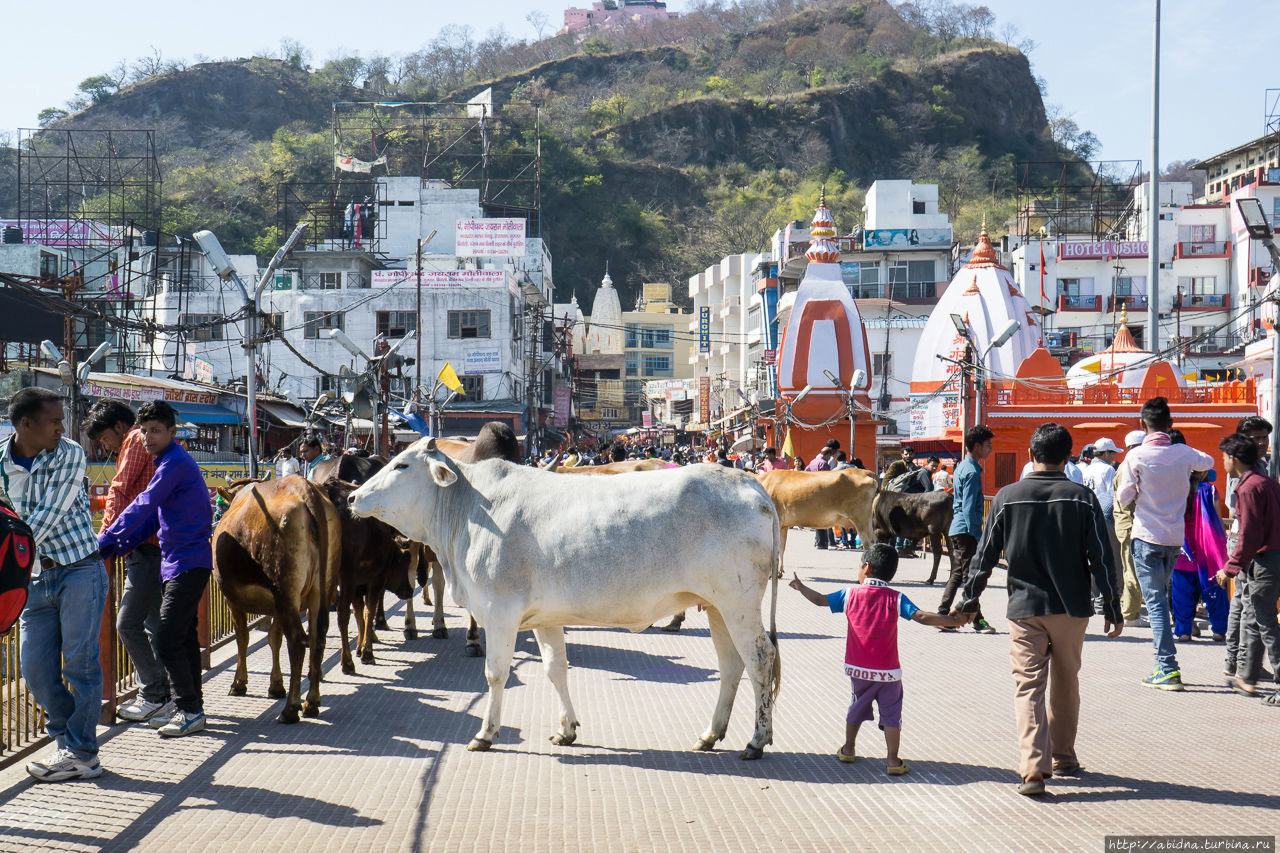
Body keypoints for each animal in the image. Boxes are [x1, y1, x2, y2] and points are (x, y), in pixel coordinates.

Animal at [212, 473, 340, 722]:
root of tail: (304, 487)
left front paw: (239, 683)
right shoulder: (277, 605)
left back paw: (291, 708)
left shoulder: (233, 599)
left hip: (285, 588)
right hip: (318, 590)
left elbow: (242, 637)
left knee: (298, 640)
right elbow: (274, 638)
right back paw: (311, 702)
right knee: (317, 637)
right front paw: (276, 685)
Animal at [353, 438, 788, 758]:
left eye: (401, 465)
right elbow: (555, 669)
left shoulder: (499, 611)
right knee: (731, 665)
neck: (466, 510)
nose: (355, 497)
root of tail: (751, 485)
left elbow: (496, 673)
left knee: (759, 659)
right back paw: (710, 735)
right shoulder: (544, 618)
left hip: (738, 604)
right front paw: (567, 729)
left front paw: (485, 733)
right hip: (716, 606)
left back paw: (756, 740)